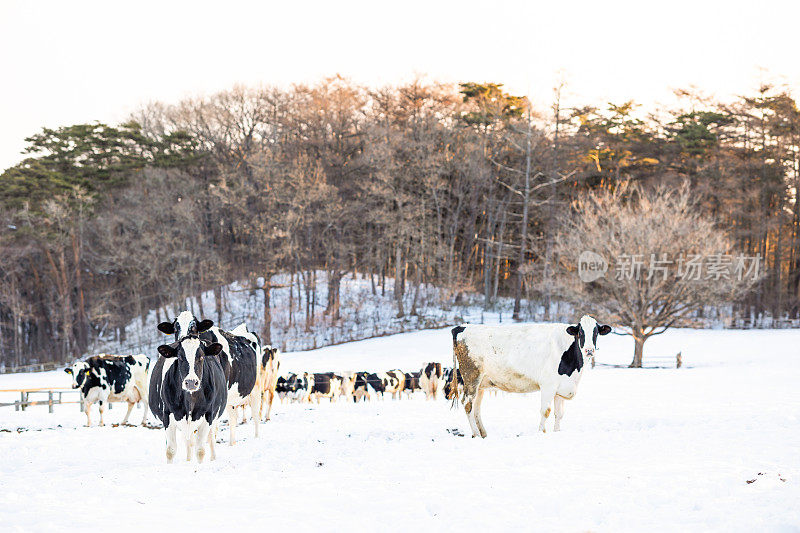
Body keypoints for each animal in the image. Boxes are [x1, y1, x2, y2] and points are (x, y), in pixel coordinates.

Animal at [159, 312, 262, 444]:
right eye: (176, 329)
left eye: (193, 328)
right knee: (233, 417)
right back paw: (232, 443)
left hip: (256, 388)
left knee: (255, 414)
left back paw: (256, 437)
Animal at [450, 316, 612, 436]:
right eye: (581, 332)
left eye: (596, 332)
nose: (589, 350)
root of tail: (462, 327)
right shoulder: (548, 385)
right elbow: (545, 411)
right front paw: (541, 433)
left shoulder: (561, 387)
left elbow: (559, 414)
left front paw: (557, 432)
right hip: (471, 377)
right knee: (468, 404)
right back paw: (476, 434)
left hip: (481, 384)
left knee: (476, 408)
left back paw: (483, 433)